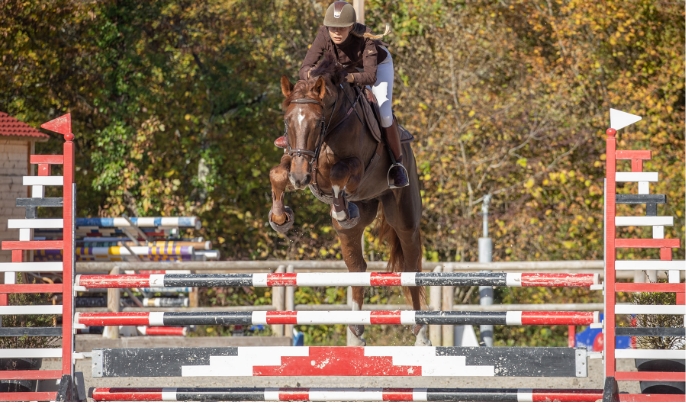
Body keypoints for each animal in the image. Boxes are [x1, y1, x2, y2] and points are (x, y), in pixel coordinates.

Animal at [268, 56, 430, 348]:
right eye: (287, 121)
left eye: (317, 122)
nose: (299, 179)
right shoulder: (294, 158)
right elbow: (277, 173)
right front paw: (280, 218)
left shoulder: (354, 167)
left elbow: (337, 173)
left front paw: (340, 207)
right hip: (355, 226)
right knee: (358, 267)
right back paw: (356, 331)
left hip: (404, 218)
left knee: (411, 269)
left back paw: (421, 334)